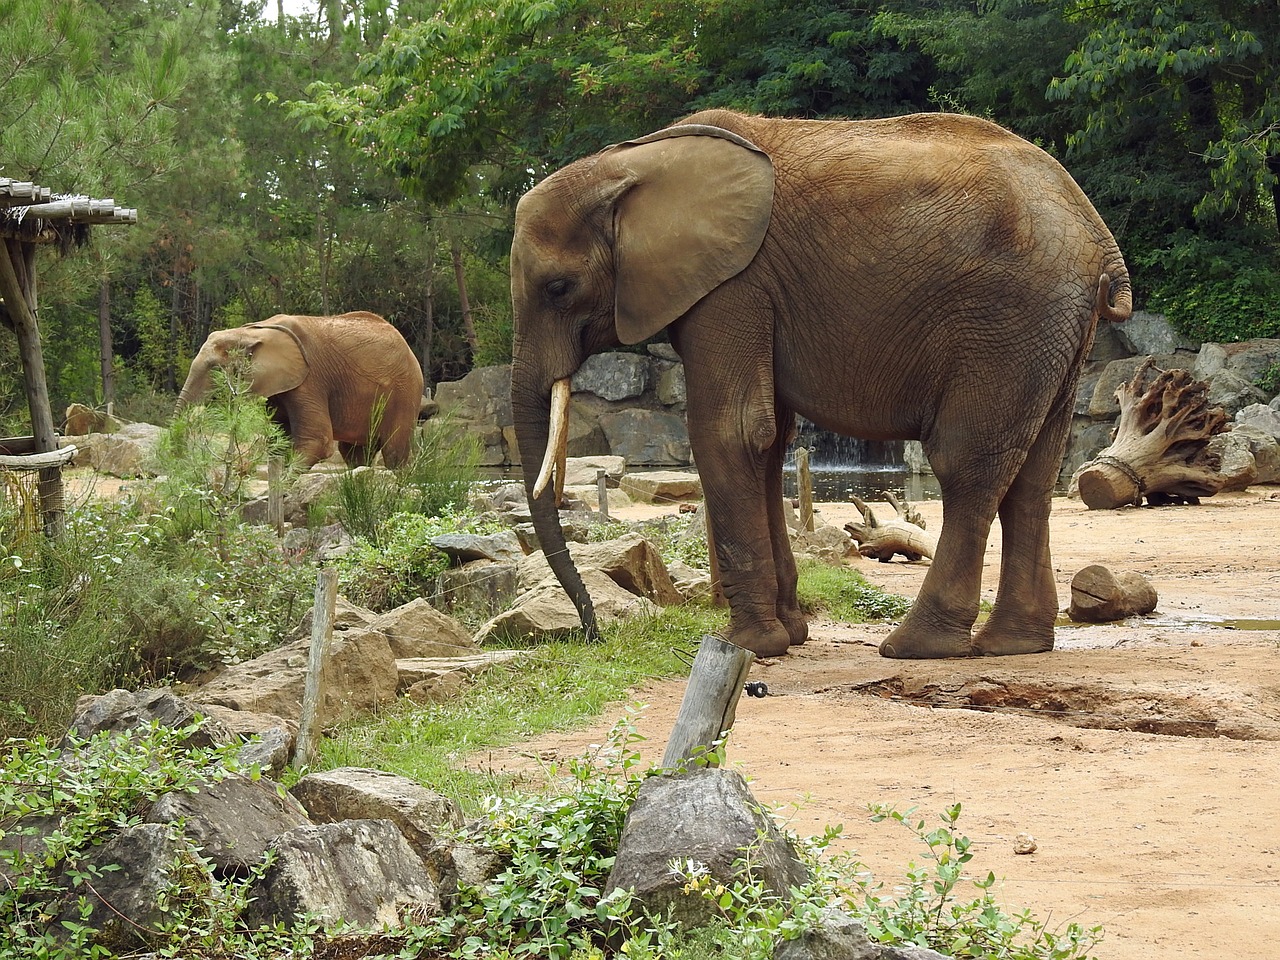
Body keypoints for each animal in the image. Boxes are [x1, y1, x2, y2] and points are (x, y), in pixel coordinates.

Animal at [176, 313, 424, 468]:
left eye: (214, 369)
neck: (251, 331)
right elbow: (279, 440)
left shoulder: (310, 380)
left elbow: (317, 441)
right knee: (354, 452)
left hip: (405, 391)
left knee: (394, 452)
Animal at [509, 106, 1131, 660]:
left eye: (558, 288)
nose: (592, 632)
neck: (629, 162)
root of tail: (1100, 239)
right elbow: (769, 440)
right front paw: (791, 635)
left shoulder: (733, 286)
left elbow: (730, 431)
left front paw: (747, 645)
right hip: (1050, 336)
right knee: (1033, 474)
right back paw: (1014, 645)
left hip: (1007, 323)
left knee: (966, 463)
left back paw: (916, 648)